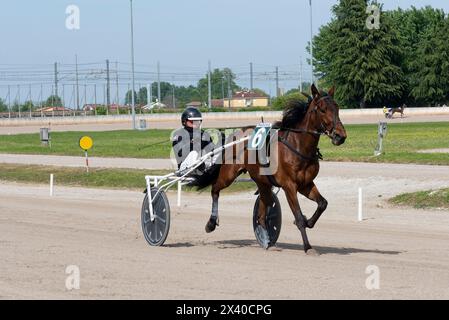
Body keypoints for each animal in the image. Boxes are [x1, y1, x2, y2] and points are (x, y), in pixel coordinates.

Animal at [194, 85, 344, 255]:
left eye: (337, 108)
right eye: (323, 109)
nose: (340, 135)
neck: (298, 146)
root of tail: (236, 133)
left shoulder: (305, 184)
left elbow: (322, 204)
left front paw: (309, 222)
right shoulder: (289, 186)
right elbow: (298, 216)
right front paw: (308, 247)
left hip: (263, 183)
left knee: (261, 213)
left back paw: (266, 240)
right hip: (229, 174)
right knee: (215, 189)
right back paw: (211, 223)